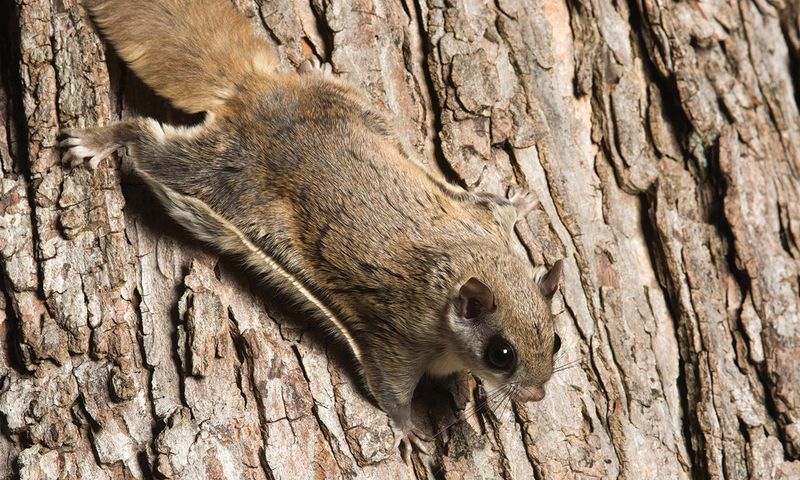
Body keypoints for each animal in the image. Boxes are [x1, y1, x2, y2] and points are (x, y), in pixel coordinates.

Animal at [60, 0, 564, 461]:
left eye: (556, 340)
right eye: (501, 354)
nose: (537, 394)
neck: (461, 265)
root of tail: (251, 91)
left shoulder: (481, 222)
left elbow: (495, 208)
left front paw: (521, 204)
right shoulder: (398, 335)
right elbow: (389, 387)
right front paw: (407, 428)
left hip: (348, 103)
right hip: (215, 174)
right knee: (148, 143)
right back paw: (103, 140)